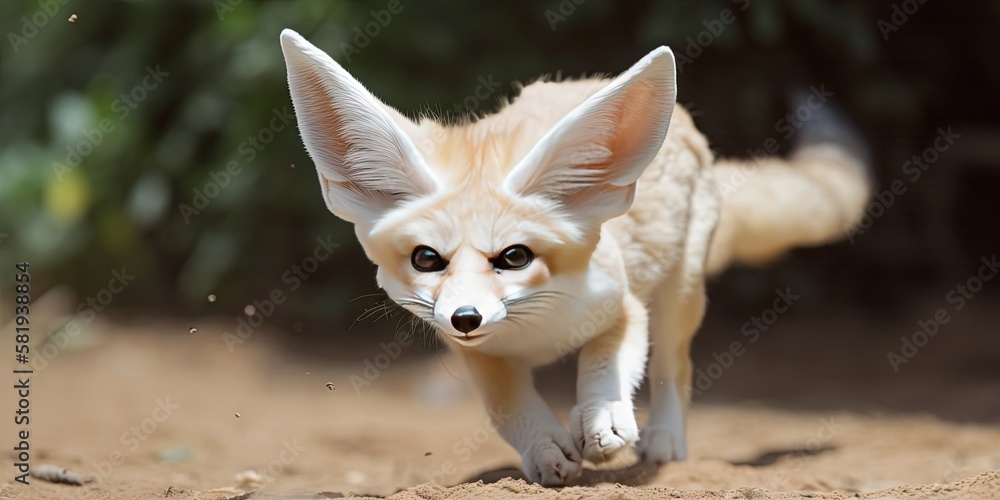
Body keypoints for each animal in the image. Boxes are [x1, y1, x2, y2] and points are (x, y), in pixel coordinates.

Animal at [279, 29, 870, 486]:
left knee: (675, 366)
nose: (466, 317)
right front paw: (544, 448)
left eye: (515, 257)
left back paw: (665, 440)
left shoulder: (622, 305)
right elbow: (508, 407)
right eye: (427, 259)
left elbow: (606, 363)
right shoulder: (479, 354)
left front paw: (603, 417)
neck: (537, 332)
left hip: (679, 295)